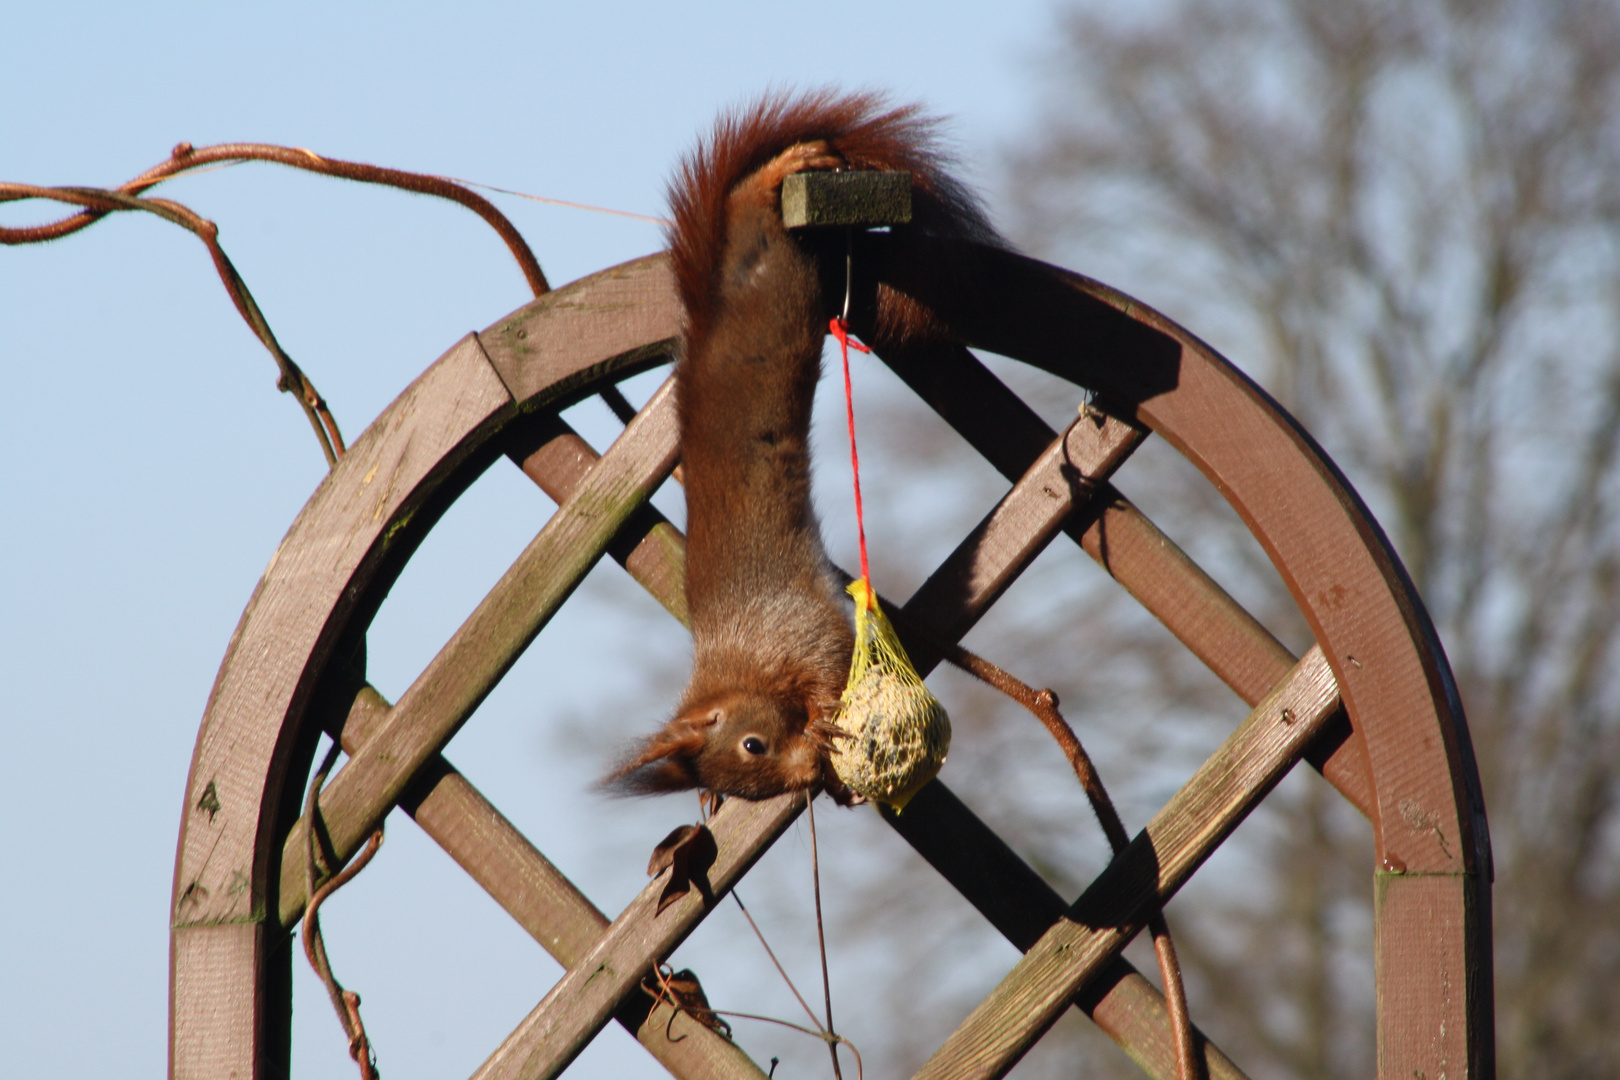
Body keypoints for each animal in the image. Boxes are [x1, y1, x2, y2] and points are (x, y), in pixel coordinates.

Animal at [609, 93, 997, 799]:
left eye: (753, 743)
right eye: (753, 788)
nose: (805, 776)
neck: (738, 665)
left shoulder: (797, 628)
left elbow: (831, 661)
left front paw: (821, 722)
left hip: (777, 277)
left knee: (753, 213)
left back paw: (781, 169)